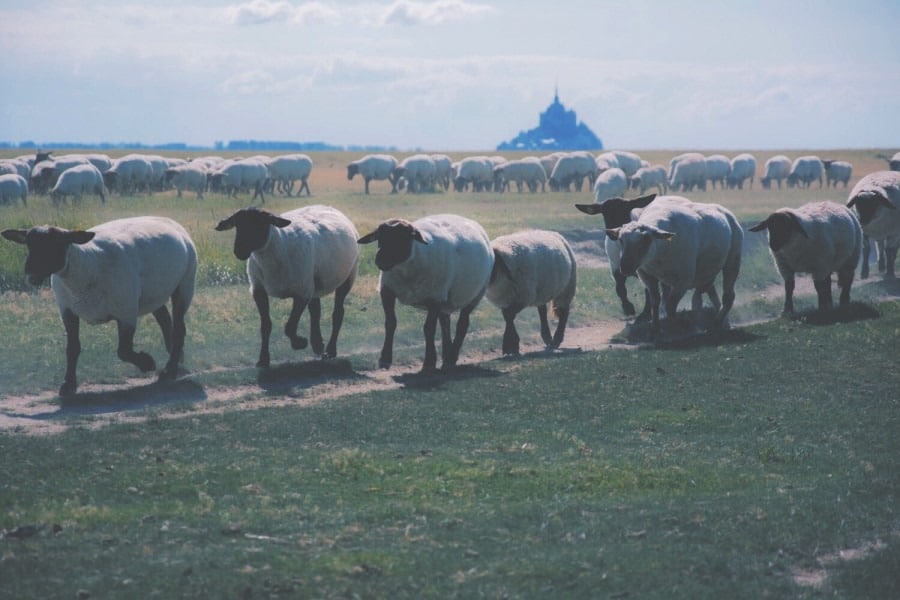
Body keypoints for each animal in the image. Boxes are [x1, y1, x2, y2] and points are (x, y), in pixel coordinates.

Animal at [0, 218, 197, 396]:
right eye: (29, 244)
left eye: (55, 243)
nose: (30, 270)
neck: (86, 265)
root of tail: (168, 220)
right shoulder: (67, 310)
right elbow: (73, 348)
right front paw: (68, 384)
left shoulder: (126, 311)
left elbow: (123, 351)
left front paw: (147, 363)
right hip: (152, 294)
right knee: (164, 319)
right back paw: (176, 360)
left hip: (185, 284)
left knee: (179, 329)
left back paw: (170, 371)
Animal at [214, 205, 358, 366]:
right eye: (237, 225)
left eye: (260, 223)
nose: (239, 251)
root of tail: (329, 207)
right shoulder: (258, 290)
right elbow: (266, 326)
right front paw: (263, 359)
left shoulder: (302, 293)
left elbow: (289, 327)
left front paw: (300, 343)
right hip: (312, 284)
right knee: (315, 311)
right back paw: (317, 345)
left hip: (347, 277)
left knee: (337, 314)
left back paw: (330, 350)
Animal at [356, 211, 492, 370]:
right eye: (380, 237)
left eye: (403, 237)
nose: (380, 260)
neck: (407, 270)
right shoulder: (387, 291)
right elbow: (390, 323)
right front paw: (385, 358)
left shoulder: (435, 298)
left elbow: (429, 329)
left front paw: (429, 362)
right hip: (446, 300)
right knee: (445, 323)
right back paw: (447, 355)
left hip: (475, 295)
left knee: (462, 324)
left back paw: (451, 357)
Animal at [600, 197, 740, 338]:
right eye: (621, 239)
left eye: (646, 239)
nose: (625, 267)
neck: (659, 254)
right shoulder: (647, 277)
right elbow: (655, 302)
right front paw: (655, 330)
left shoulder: (684, 280)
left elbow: (670, 307)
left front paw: (685, 325)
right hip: (705, 273)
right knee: (711, 293)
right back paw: (723, 323)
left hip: (732, 261)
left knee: (728, 297)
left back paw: (715, 324)